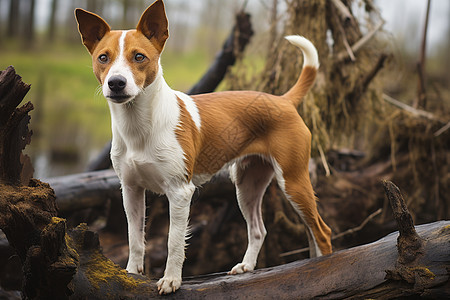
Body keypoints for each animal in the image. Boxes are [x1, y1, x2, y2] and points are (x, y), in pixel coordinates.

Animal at [75, 0, 332, 296]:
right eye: (103, 58)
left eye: (139, 57)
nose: (116, 83)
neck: (140, 126)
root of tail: (283, 100)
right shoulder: (130, 190)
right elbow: (134, 238)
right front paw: (131, 275)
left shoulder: (179, 192)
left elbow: (174, 241)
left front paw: (171, 280)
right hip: (247, 185)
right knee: (260, 230)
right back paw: (247, 266)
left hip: (293, 181)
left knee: (322, 232)